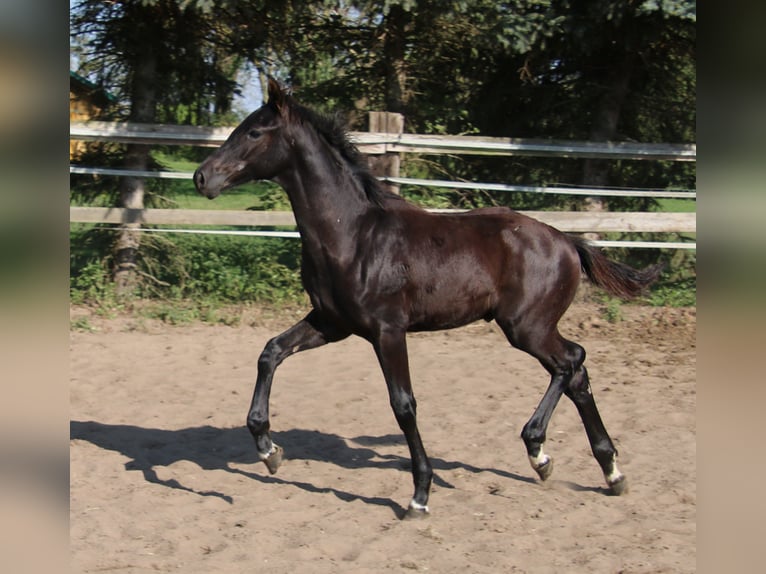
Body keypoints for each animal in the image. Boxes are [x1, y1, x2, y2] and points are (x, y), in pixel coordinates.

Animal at [195, 77, 664, 520]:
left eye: (254, 132)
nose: (202, 177)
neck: (352, 235)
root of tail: (568, 241)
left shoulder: (387, 329)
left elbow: (403, 405)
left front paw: (419, 496)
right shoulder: (333, 323)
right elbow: (271, 352)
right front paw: (268, 449)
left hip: (527, 327)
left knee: (572, 361)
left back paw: (540, 450)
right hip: (532, 328)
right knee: (577, 373)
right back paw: (607, 471)